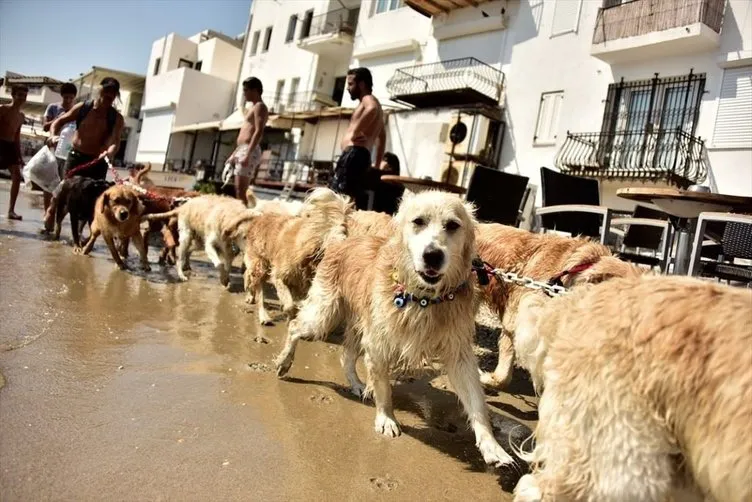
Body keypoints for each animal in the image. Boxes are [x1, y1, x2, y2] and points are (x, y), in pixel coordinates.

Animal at [225, 188, 352, 326]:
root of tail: (259, 217)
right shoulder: (279, 276)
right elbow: (290, 304)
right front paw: (288, 312)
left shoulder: (300, 285)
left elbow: (294, 303)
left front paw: (290, 316)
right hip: (261, 265)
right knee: (259, 290)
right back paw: (263, 315)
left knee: (248, 275)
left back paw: (250, 295)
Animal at [274, 191, 516, 466]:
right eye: (418, 221)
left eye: (453, 225)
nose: (433, 255)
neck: (423, 299)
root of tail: (344, 241)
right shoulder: (379, 342)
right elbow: (384, 388)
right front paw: (386, 418)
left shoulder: (458, 353)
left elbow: (476, 402)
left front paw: (492, 446)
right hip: (324, 315)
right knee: (295, 325)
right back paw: (284, 363)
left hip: (357, 323)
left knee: (346, 354)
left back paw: (357, 384)